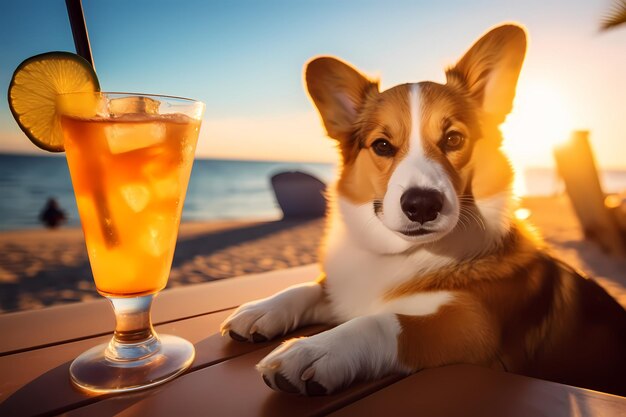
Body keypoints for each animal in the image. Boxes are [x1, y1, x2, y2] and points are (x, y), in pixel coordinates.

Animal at [221, 24, 624, 394]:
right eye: (382, 146)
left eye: (454, 139)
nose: (422, 205)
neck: (404, 255)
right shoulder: (345, 288)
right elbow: (311, 287)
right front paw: (262, 309)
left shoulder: (472, 326)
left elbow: (381, 323)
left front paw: (313, 350)